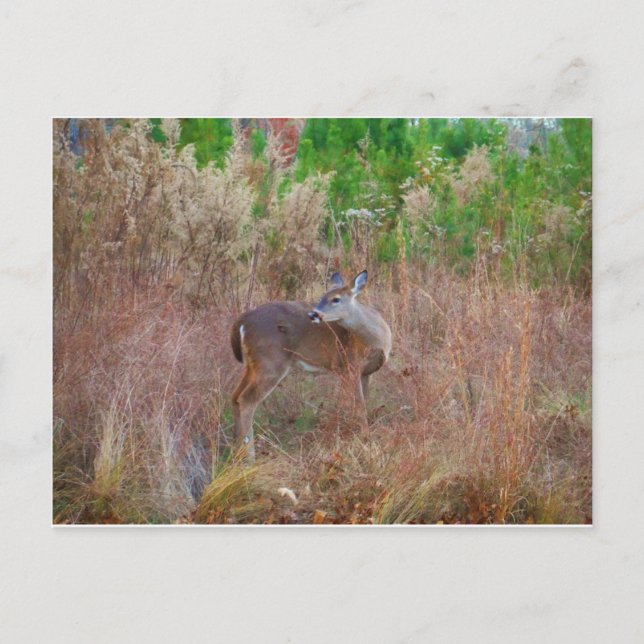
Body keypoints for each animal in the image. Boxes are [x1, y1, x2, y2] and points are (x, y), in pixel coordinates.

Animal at [229, 270, 392, 461]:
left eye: (335, 299)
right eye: (322, 296)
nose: (313, 314)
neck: (377, 340)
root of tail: (241, 322)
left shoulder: (365, 372)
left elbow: (362, 402)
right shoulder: (348, 365)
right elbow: (359, 406)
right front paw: (366, 440)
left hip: (252, 365)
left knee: (235, 396)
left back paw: (236, 453)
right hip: (271, 362)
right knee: (246, 400)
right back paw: (249, 457)